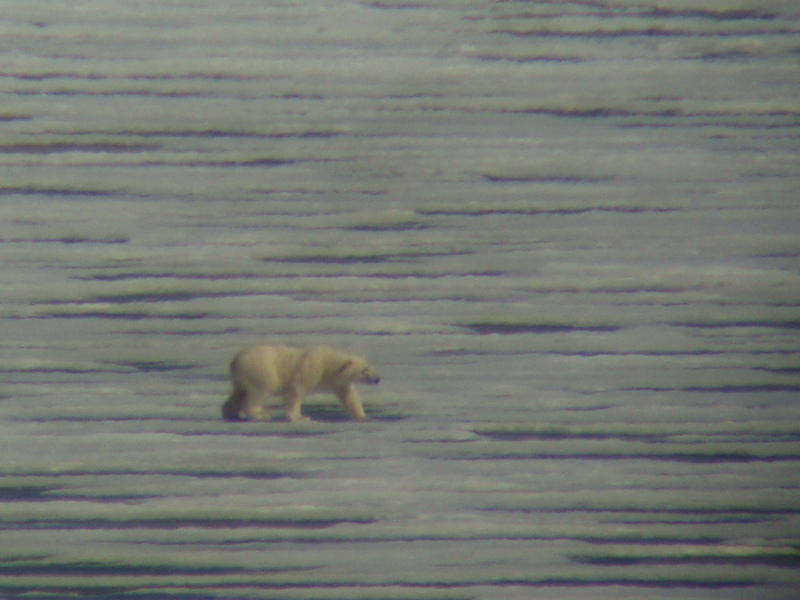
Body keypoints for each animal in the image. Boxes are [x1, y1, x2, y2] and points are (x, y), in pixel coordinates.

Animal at [222, 345, 380, 422]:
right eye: (365, 370)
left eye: (371, 367)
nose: (377, 379)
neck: (327, 365)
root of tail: (235, 360)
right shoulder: (310, 370)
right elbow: (296, 392)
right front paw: (300, 417)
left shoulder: (339, 383)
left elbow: (349, 397)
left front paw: (364, 416)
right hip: (261, 370)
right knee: (260, 390)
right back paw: (260, 414)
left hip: (242, 377)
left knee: (238, 393)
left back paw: (231, 414)